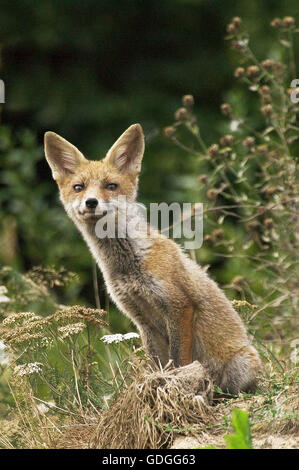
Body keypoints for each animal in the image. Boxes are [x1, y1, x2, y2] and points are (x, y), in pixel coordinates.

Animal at [44, 124, 262, 392]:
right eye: (78, 187)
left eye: (111, 186)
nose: (91, 202)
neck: (128, 266)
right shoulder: (142, 320)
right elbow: (155, 364)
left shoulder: (180, 306)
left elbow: (179, 361)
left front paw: (177, 383)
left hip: (241, 367)